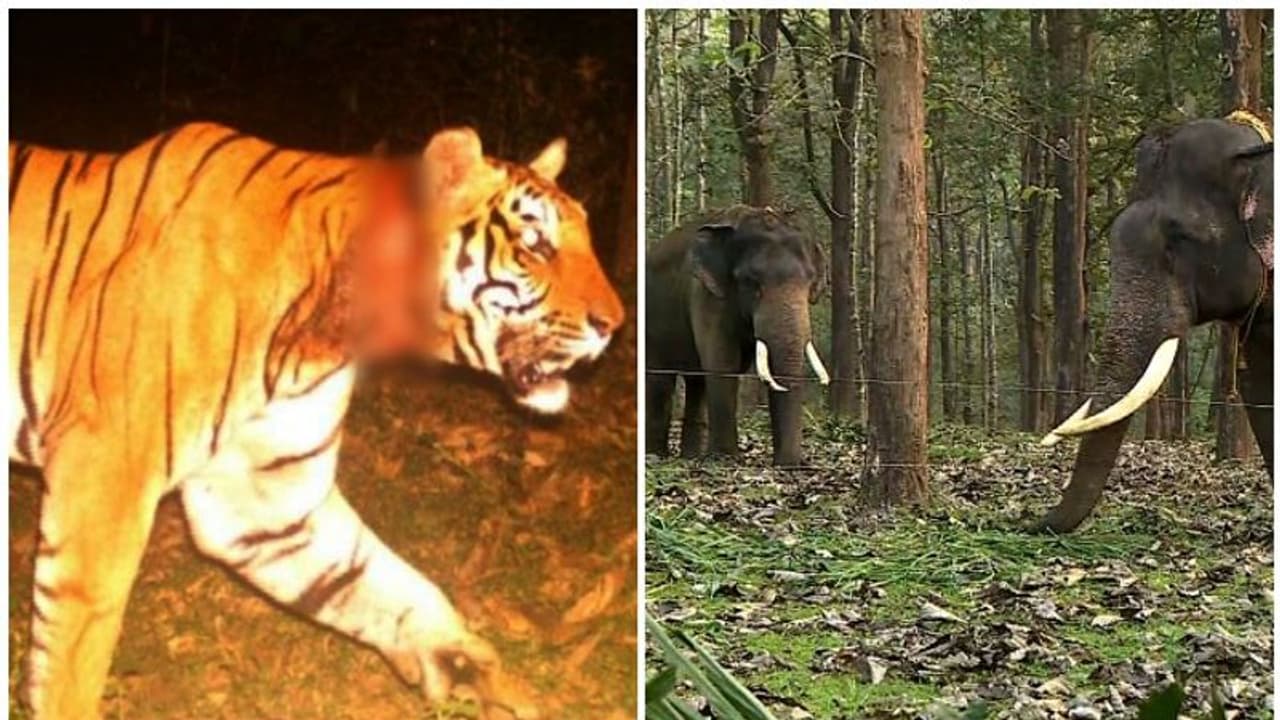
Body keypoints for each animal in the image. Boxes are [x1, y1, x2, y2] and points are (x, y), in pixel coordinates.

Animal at [8, 121, 624, 719]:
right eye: (535, 244)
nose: (616, 325)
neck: (332, 332)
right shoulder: (102, 483)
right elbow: (71, 666)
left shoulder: (267, 499)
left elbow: (378, 581)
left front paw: (473, 670)